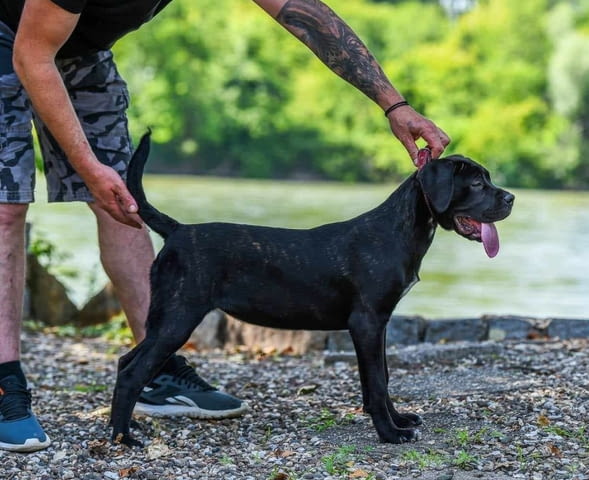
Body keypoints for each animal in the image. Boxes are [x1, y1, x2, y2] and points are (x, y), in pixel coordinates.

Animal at [111, 132, 516, 446]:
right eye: (476, 184)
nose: (511, 198)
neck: (400, 229)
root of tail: (178, 231)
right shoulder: (367, 323)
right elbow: (377, 382)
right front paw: (390, 434)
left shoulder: (380, 324)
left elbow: (381, 379)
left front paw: (399, 420)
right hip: (178, 318)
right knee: (133, 372)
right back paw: (123, 438)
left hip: (166, 319)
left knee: (126, 362)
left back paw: (121, 428)